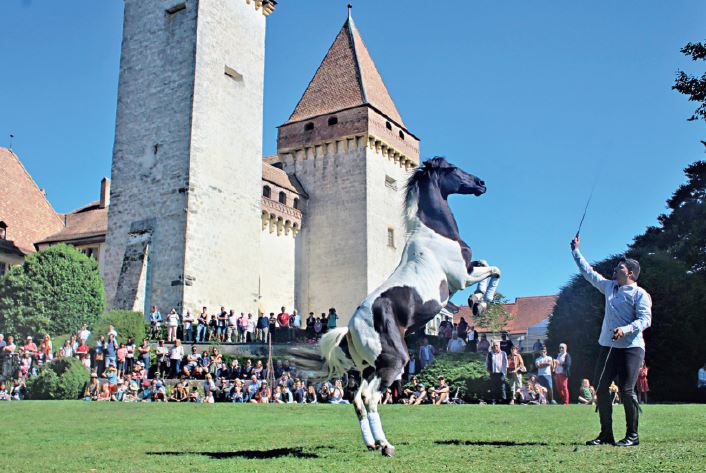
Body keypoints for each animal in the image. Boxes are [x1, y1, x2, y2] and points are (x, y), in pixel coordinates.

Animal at [304, 158, 500, 454]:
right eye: (453, 168)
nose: (481, 183)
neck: (434, 234)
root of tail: (349, 330)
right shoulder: (462, 277)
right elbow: (495, 270)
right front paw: (480, 302)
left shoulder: (467, 270)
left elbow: (487, 263)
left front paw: (476, 302)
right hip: (394, 361)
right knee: (370, 398)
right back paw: (385, 445)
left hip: (369, 368)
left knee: (358, 399)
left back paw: (372, 443)